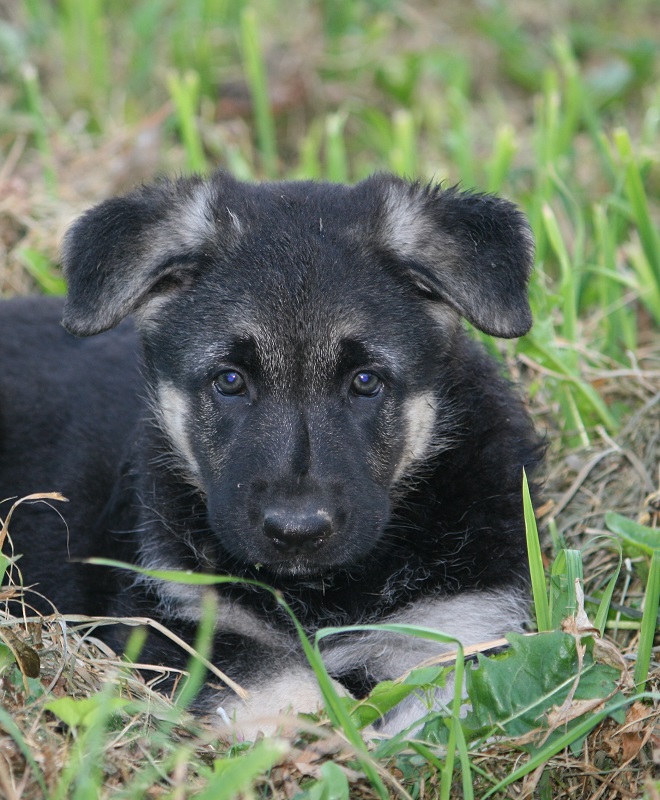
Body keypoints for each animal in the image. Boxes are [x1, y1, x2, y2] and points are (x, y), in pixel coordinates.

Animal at [0, 172, 540, 736]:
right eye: (229, 380)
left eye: (365, 381)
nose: (296, 532)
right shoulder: (175, 622)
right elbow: (292, 690)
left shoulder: (463, 625)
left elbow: (435, 707)